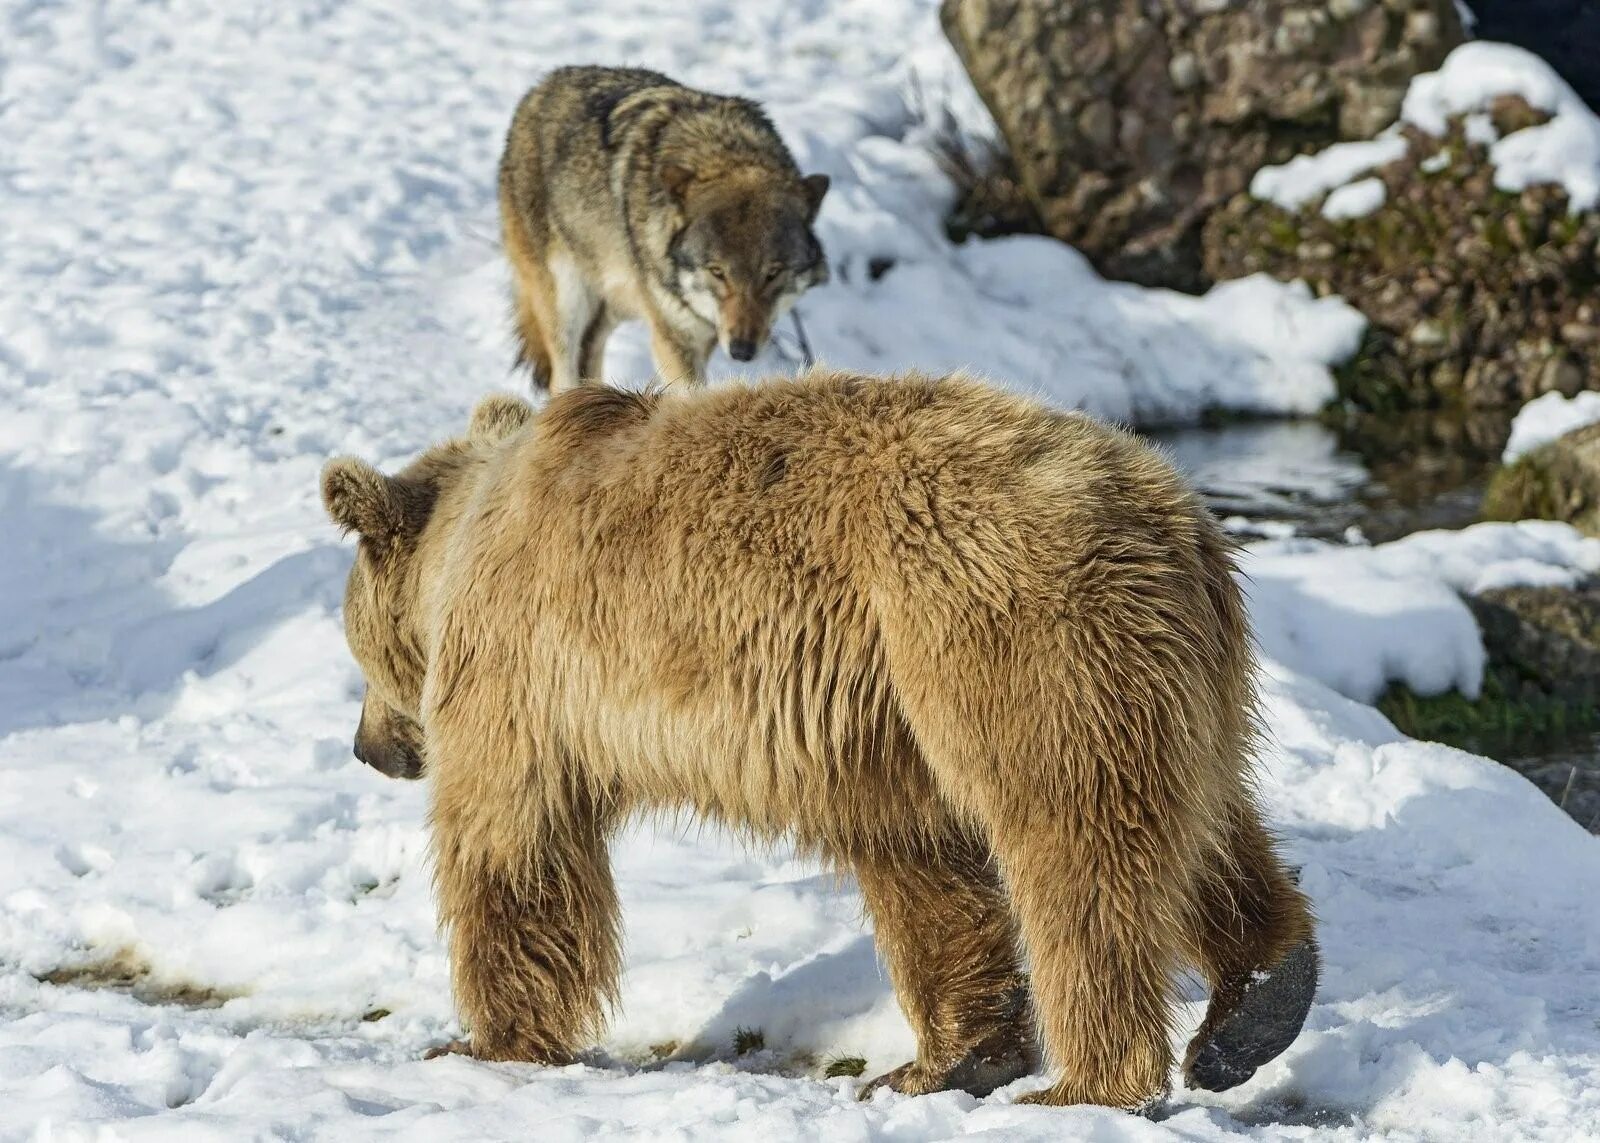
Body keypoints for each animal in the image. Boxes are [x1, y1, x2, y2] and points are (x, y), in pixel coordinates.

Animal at [321, 371, 1312, 1101]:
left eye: (352, 642)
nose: (368, 746)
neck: (460, 543)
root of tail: (1169, 511)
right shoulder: (882, 732)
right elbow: (925, 869)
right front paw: (946, 1060)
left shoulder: (521, 670)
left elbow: (514, 842)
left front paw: (481, 1041)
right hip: (1160, 673)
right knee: (1206, 827)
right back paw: (1257, 1004)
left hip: (1012, 633)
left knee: (1077, 843)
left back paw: (1093, 1081)